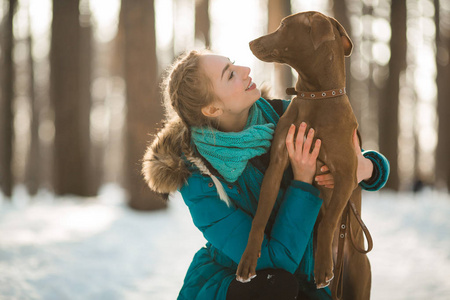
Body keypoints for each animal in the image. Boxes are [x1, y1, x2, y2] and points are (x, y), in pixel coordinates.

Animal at [237, 10, 370, 298]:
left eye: (283, 25)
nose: (250, 42)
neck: (317, 96)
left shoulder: (346, 175)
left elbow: (329, 220)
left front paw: (322, 267)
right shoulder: (276, 165)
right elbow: (260, 216)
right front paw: (248, 259)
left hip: (359, 277)